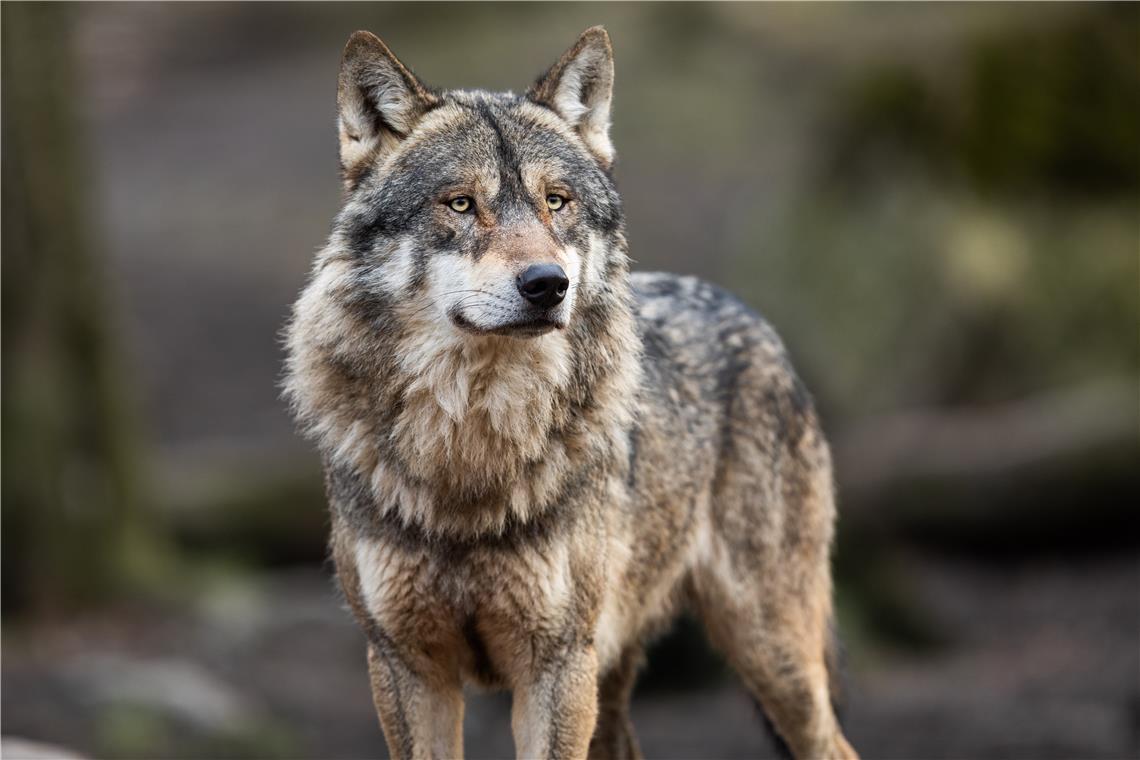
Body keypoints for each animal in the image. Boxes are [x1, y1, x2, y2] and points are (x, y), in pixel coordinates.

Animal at [282, 25, 857, 760]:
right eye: (461, 203)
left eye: (556, 201)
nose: (546, 284)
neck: (471, 450)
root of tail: (749, 314)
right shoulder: (404, 665)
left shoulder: (554, 665)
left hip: (767, 653)